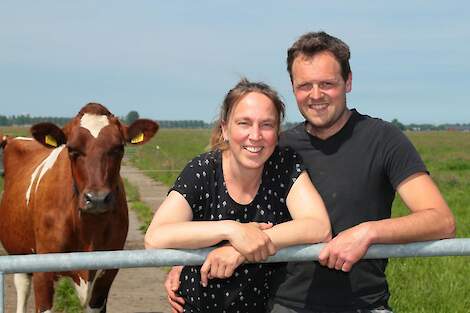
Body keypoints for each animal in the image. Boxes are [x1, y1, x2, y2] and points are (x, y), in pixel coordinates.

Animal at [0, 102, 158, 310]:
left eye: (118, 148)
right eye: (72, 149)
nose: (97, 199)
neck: (88, 229)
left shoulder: (106, 275)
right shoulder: (43, 273)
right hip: (19, 253)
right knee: (22, 289)